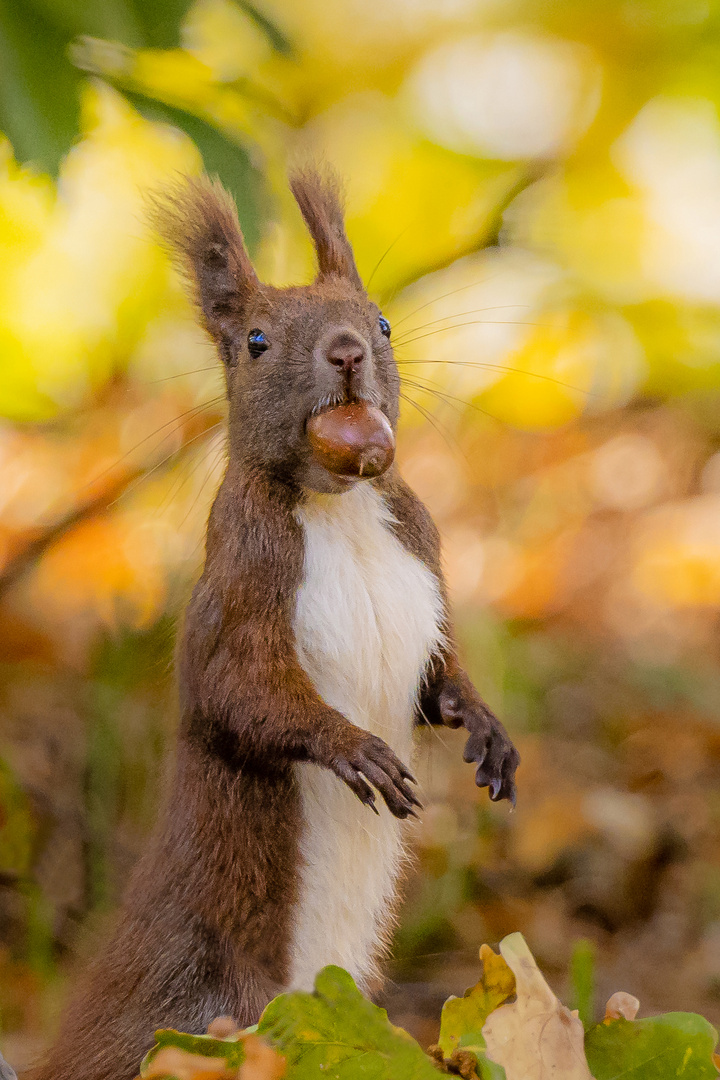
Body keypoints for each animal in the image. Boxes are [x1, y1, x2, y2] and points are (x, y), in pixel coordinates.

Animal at [32, 166, 518, 1080]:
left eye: (383, 321)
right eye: (257, 341)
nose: (348, 351)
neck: (341, 507)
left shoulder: (423, 556)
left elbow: (439, 680)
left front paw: (487, 729)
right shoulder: (244, 582)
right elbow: (241, 690)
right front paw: (351, 745)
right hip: (211, 1008)